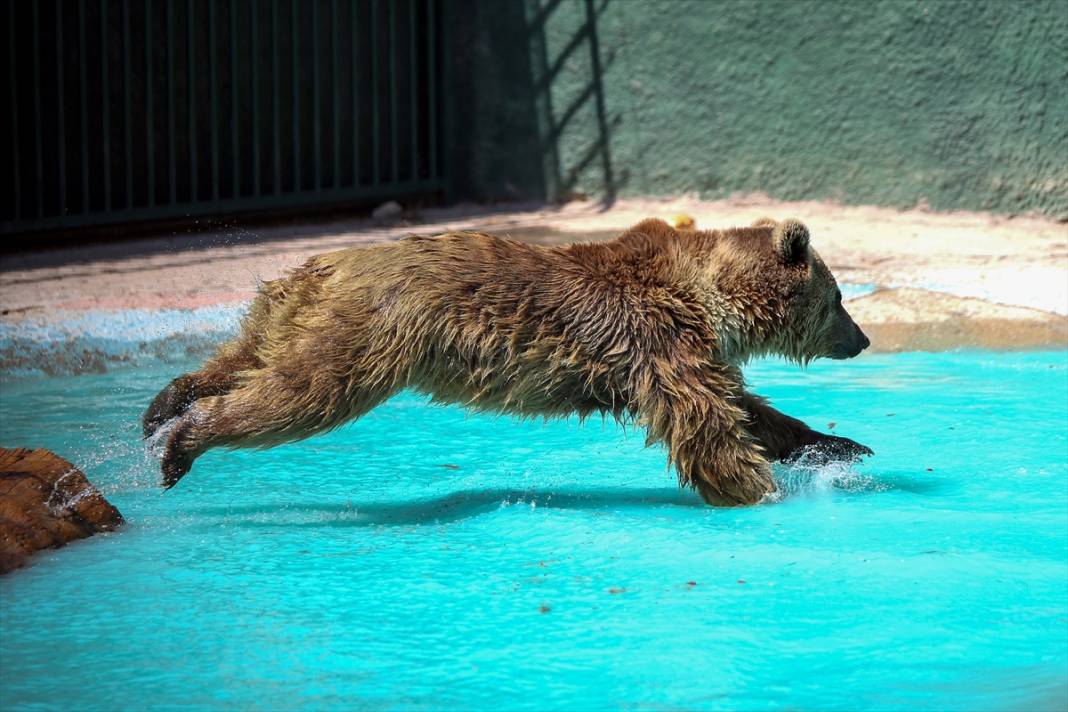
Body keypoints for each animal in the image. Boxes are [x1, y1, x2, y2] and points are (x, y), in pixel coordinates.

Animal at [142, 217, 871, 505]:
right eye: (840, 297)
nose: (862, 339)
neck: (708, 297)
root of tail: (324, 264)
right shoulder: (657, 341)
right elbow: (707, 426)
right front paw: (765, 491)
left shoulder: (679, 351)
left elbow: (750, 409)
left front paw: (840, 446)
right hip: (371, 332)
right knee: (304, 392)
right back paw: (183, 444)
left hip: (289, 310)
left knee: (251, 355)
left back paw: (164, 406)